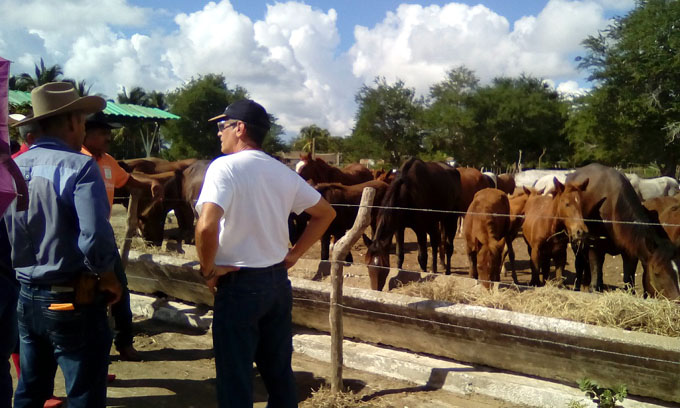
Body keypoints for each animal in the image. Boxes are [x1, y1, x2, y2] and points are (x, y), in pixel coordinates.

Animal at [364, 159, 460, 290]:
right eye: (368, 265)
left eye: (384, 266)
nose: (376, 289)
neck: (407, 193)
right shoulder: (399, 228)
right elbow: (400, 255)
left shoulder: (420, 229)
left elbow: (422, 258)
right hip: (435, 221)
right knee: (435, 241)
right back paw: (435, 269)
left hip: (451, 218)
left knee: (448, 247)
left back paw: (447, 272)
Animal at [564, 163, 680, 300]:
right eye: (657, 272)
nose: (677, 300)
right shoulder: (595, 246)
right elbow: (595, 273)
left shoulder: (630, 251)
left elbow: (628, 280)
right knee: (580, 263)